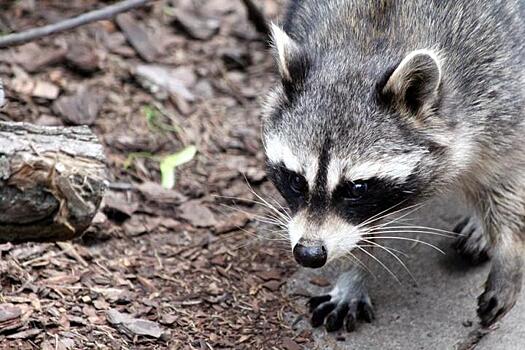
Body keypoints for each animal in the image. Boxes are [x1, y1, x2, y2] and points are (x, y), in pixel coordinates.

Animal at [260, 0, 524, 332]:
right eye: (296, 180)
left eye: (357, 188)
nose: (309, 254)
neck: (369, 46)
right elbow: (358, 229)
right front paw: (353, 274)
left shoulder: (500, 85)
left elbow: (506, 177)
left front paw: (509, 256)